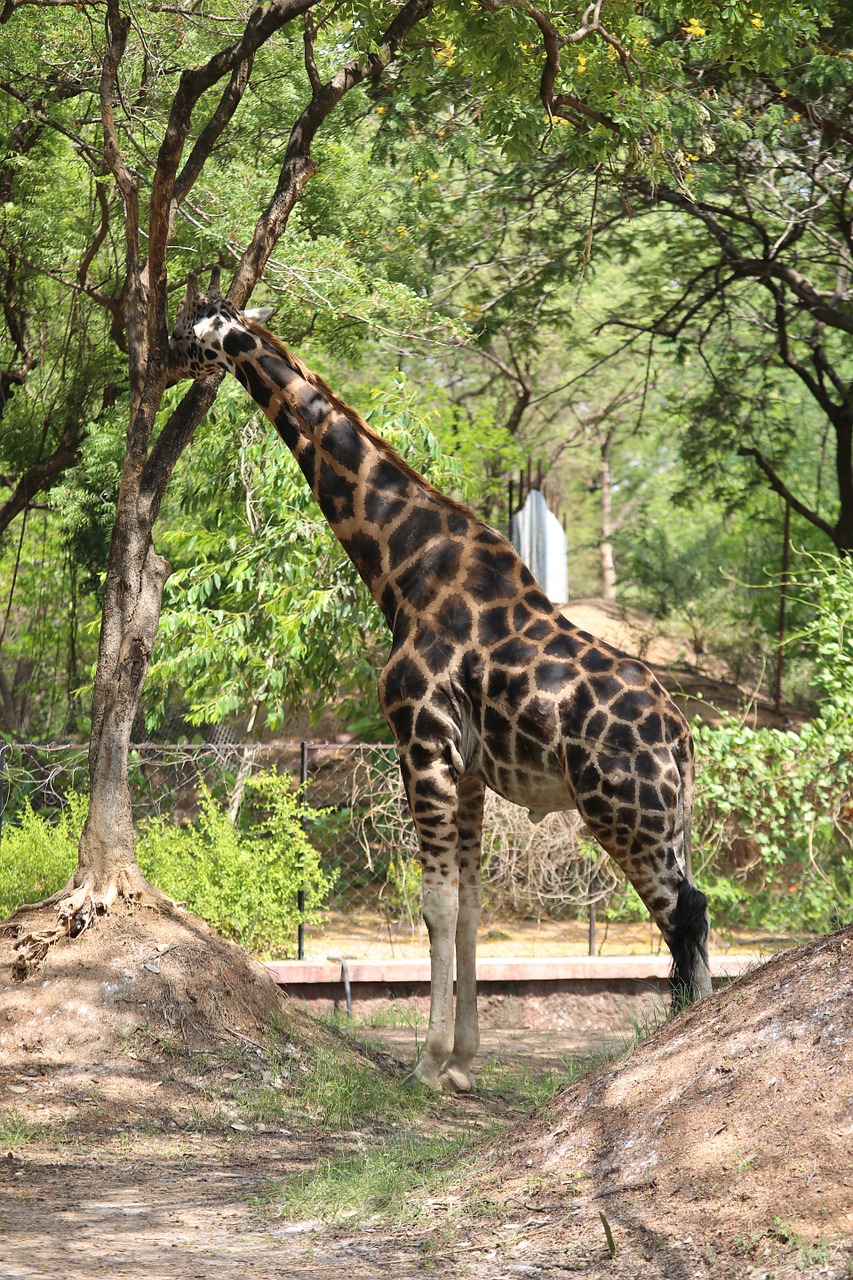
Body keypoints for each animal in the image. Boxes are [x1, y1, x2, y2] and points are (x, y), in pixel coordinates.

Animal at [171, 270, 712, 1090]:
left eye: (190, 324)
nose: (156, 358)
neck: (402, 567)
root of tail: (679, 736)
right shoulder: (471, 769)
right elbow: (469, 908)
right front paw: (462, 1061)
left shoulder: (420, 741)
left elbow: (434, 905)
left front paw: (427, 1065)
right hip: (666, 818)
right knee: (691, 916)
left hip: (624, 813)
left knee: (686, 915)